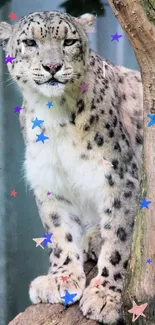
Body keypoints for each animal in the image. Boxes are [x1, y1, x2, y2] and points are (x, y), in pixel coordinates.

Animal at [0, 10, 143, 324]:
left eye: (69, 41)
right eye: (30, 42)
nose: (52, 66)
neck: (53, 115)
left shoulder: (119, 175)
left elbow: (119, 235)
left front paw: (105, 296)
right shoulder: (49, 178)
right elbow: (58, 230)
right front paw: (61, 278)